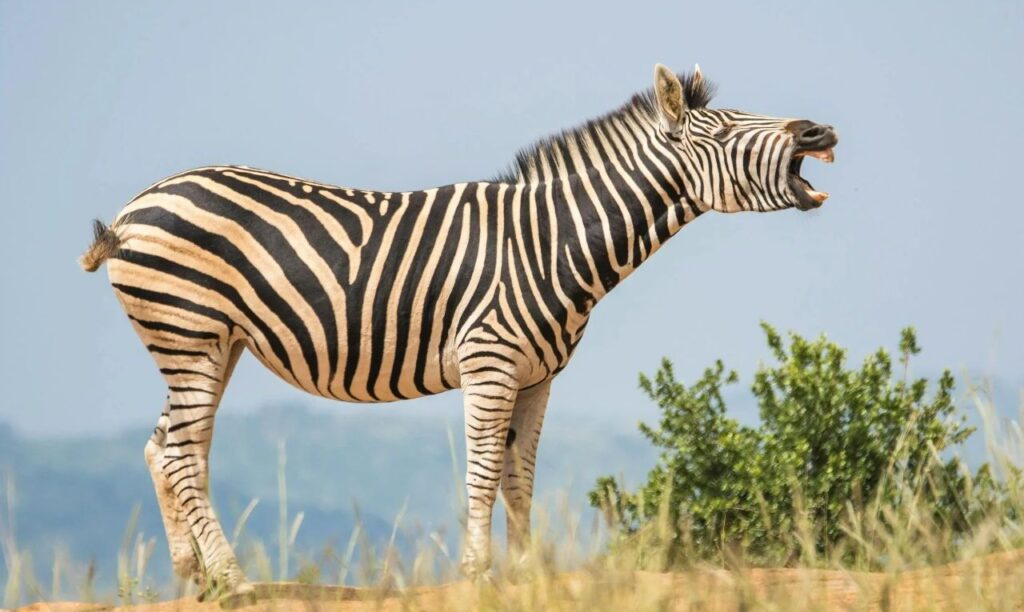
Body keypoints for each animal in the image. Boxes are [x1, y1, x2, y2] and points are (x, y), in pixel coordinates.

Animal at [79, 63, 836, 601]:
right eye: (724, 131)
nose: (819, 134)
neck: (551, 242)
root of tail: (136, 206)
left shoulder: (538, 376)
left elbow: (519, 476)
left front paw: (528, 573)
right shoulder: (489, 362)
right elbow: (480, 472)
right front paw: (478, 571)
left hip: (211, 341)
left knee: (166, 447)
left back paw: (194, 577)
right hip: (189, 330)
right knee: (181, 453)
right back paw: (235, 582)